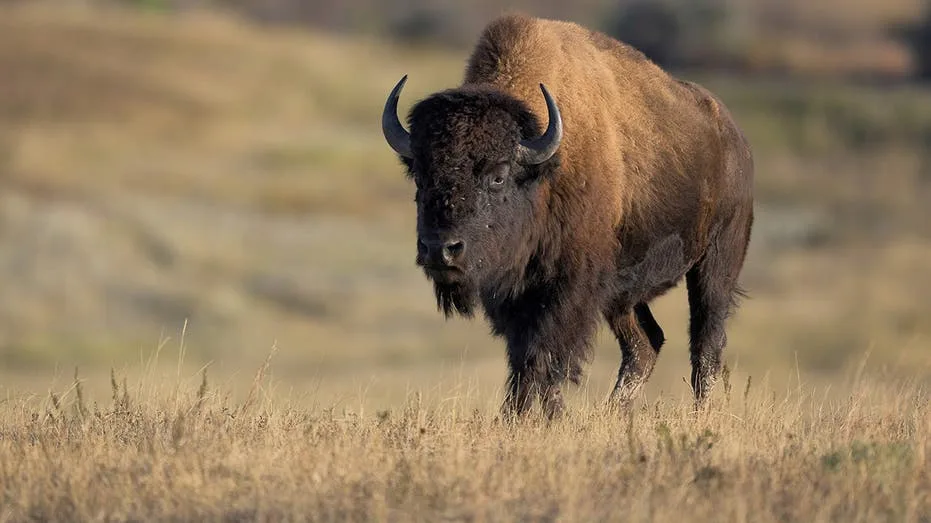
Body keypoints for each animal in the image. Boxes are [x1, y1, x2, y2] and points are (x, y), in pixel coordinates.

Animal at [382, 14, 754, 417]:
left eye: (498, 176)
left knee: (706, 342)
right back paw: (613, 413)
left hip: (716, 262)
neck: (544, 170)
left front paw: (539, 417)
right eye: (420, 175)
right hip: (623, 294)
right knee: (645, 343)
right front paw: (524, 416)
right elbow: (523, 358)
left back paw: (700, 414)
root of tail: (735, 137)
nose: (440, 249)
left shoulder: (570, 287)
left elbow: (547, 355)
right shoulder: (514, 295)